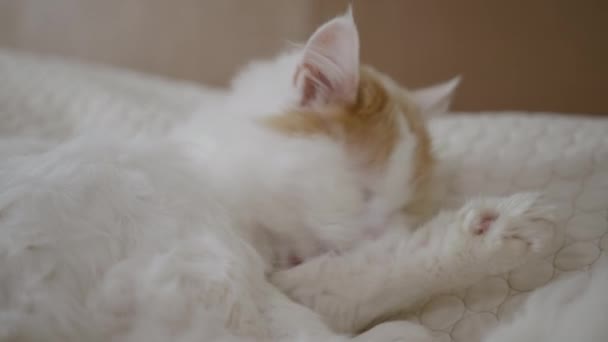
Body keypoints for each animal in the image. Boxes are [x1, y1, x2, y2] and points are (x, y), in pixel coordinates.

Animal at [0, 8, 552, 342]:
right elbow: (322, 318)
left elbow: (362, 275)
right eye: (361, 190)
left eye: (403, 211)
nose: (376, 231)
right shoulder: (211, 279)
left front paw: (493, 233)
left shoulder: (275, 281)